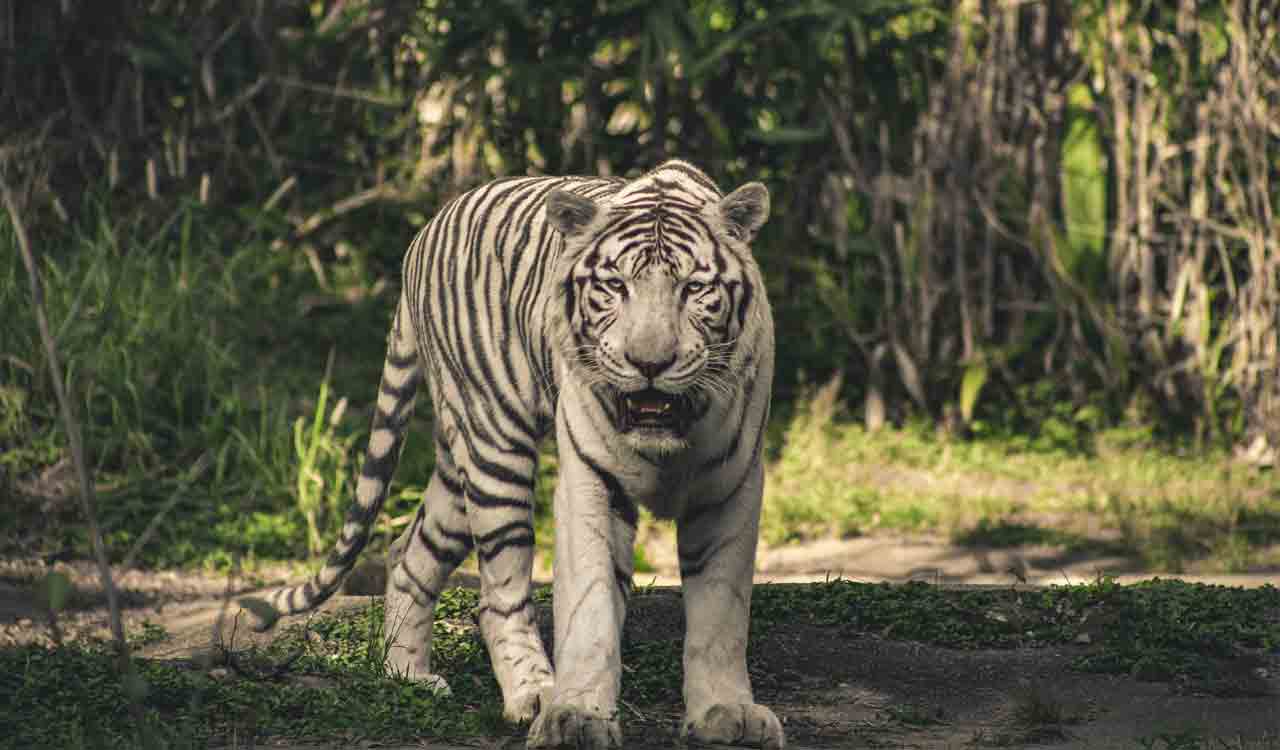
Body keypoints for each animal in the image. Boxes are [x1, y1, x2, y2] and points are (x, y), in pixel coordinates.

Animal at [240, 159, 778, 747]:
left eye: (694, 288)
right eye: (615, 286)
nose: (650, 363)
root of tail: (421, 237)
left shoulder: (731, 485)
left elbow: (721, 614)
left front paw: (725, 712)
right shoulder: (589, 480)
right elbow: (590, 604)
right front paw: (577, 715)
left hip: (459, 462)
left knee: (410, 553)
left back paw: (406, 675)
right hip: (493, 445)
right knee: (498, 597)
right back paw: (533, 693)